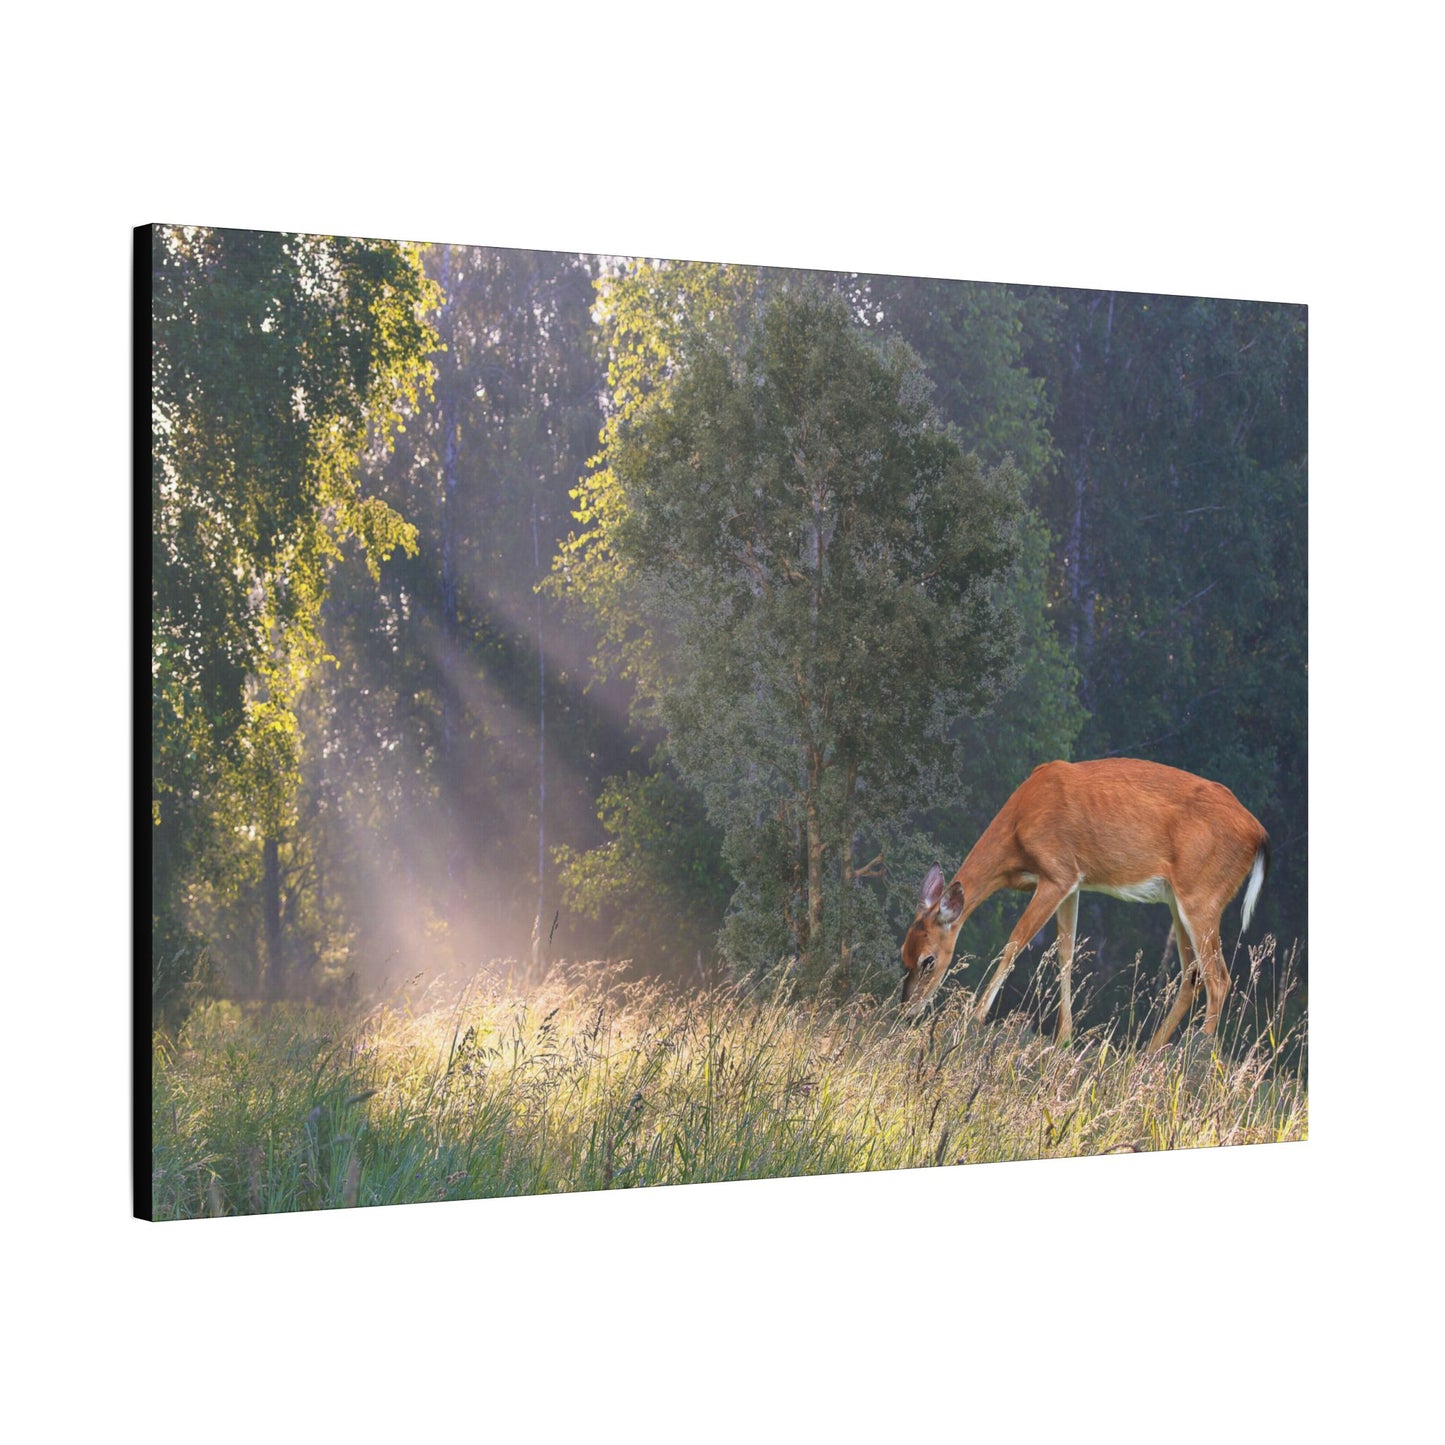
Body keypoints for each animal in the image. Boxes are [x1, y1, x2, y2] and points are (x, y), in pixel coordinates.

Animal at [898, 758, 1270, 1051]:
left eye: (929, 960)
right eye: (903, 955)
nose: (907, 1011)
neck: (1018, 826)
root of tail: (1259, 834)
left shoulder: (1058, 872)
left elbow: (1015, 943)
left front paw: (973, 1018)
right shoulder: (1073, 883)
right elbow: (1066, 953)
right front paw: (1064, 1037)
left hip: (1202, 897)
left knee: (1218, 977)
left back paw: (1194, 1057)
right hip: (1180, 902)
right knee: (1193, 975)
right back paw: (1148, 1056)